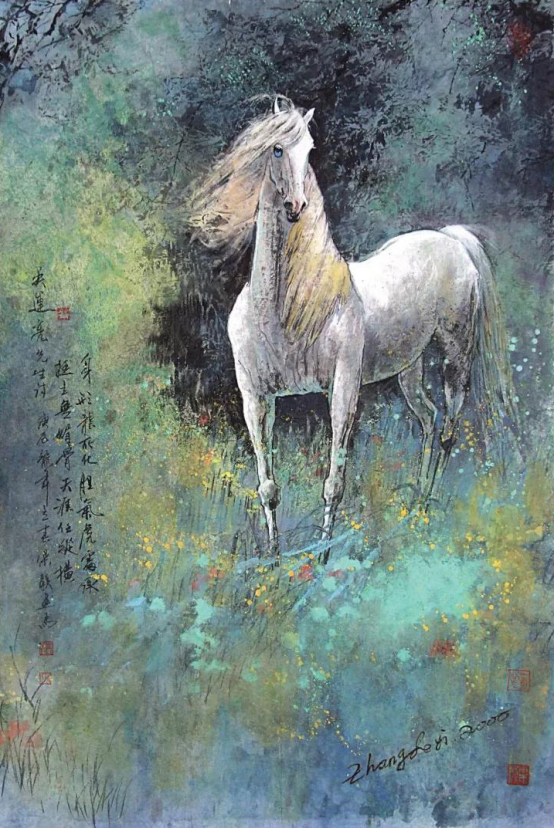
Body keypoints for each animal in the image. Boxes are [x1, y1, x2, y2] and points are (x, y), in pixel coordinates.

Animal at [188, 95, 517, 563]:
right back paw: (417, 500)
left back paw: (426, 508)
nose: (296, 207)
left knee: (450, 426)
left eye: (309, 151)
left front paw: (324, 558)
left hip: (457, 354)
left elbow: (333, 484)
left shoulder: (343, 389)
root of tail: (450, 240)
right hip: (409, 369)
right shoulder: (255, 397)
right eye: (276, 149)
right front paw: (272, 559)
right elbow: (267, 486)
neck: (284, 309)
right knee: (429, 419)